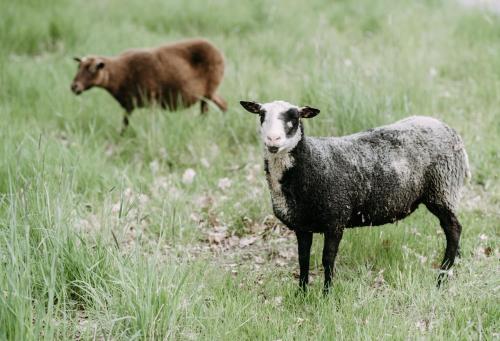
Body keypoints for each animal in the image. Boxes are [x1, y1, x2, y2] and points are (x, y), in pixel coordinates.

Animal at [70, 37, 227, 132]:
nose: (74, 87)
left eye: (92, 69)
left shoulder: (152, 100)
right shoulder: (129, 105)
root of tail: (218, 52)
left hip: (208, 92)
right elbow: (125, 124)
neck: (121, 73)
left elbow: (152, 122)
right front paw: (122, 137)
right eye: (79, 67)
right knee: (222, 105)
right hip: (209, 93)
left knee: (210, 109)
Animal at [240, 99, 470, 292]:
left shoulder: (335, 219)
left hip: (442, 189)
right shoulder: (302, 225)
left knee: (454, 229)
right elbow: (303, 259)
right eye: (261, 115)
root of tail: (450, 130)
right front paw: (301, 293)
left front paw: (326, 294)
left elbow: (327, 260)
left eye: (294, 118)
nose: (273, 139)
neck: (311, 162)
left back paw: (442, 276)